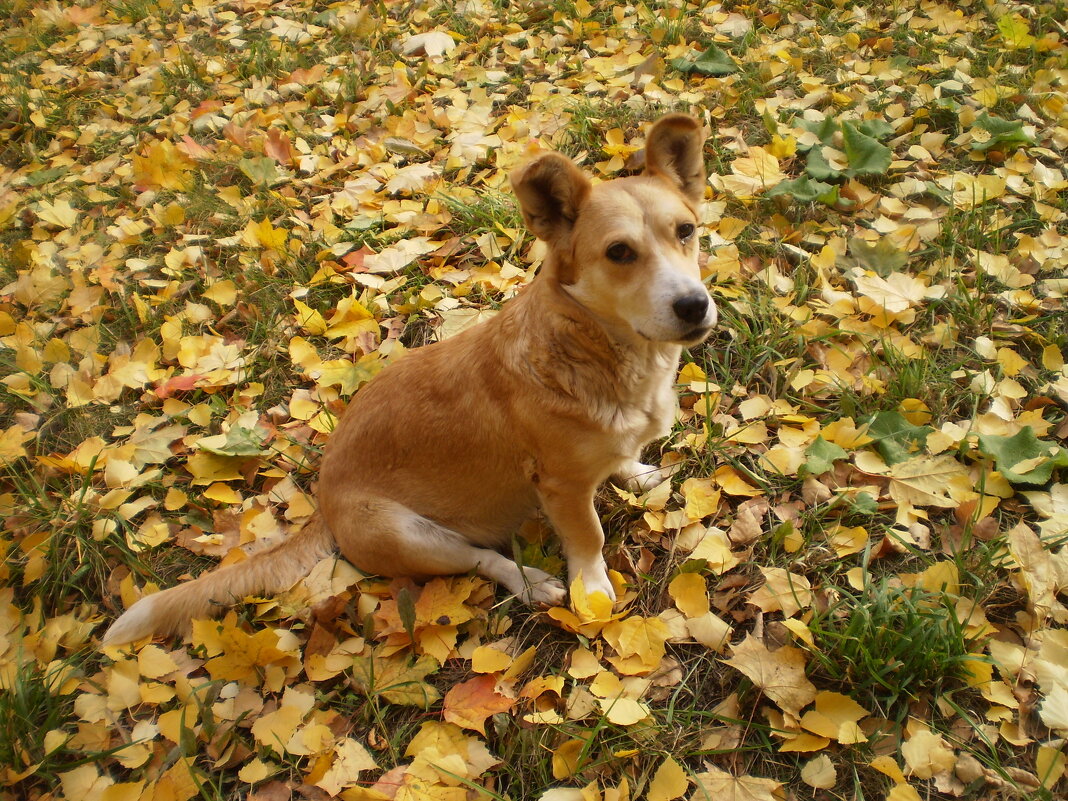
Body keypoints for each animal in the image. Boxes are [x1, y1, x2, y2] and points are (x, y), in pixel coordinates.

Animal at [101, 114, 717, 645]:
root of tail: (324, 506)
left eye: (686, 231)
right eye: (619, 252)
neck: (596, 349)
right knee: (484, 560)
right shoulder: (562, 488)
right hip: (408, 535)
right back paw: (532, 583)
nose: (695, 306)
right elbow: (589, 538)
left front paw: (634, 472)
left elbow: (622, 460)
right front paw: (592, 590)